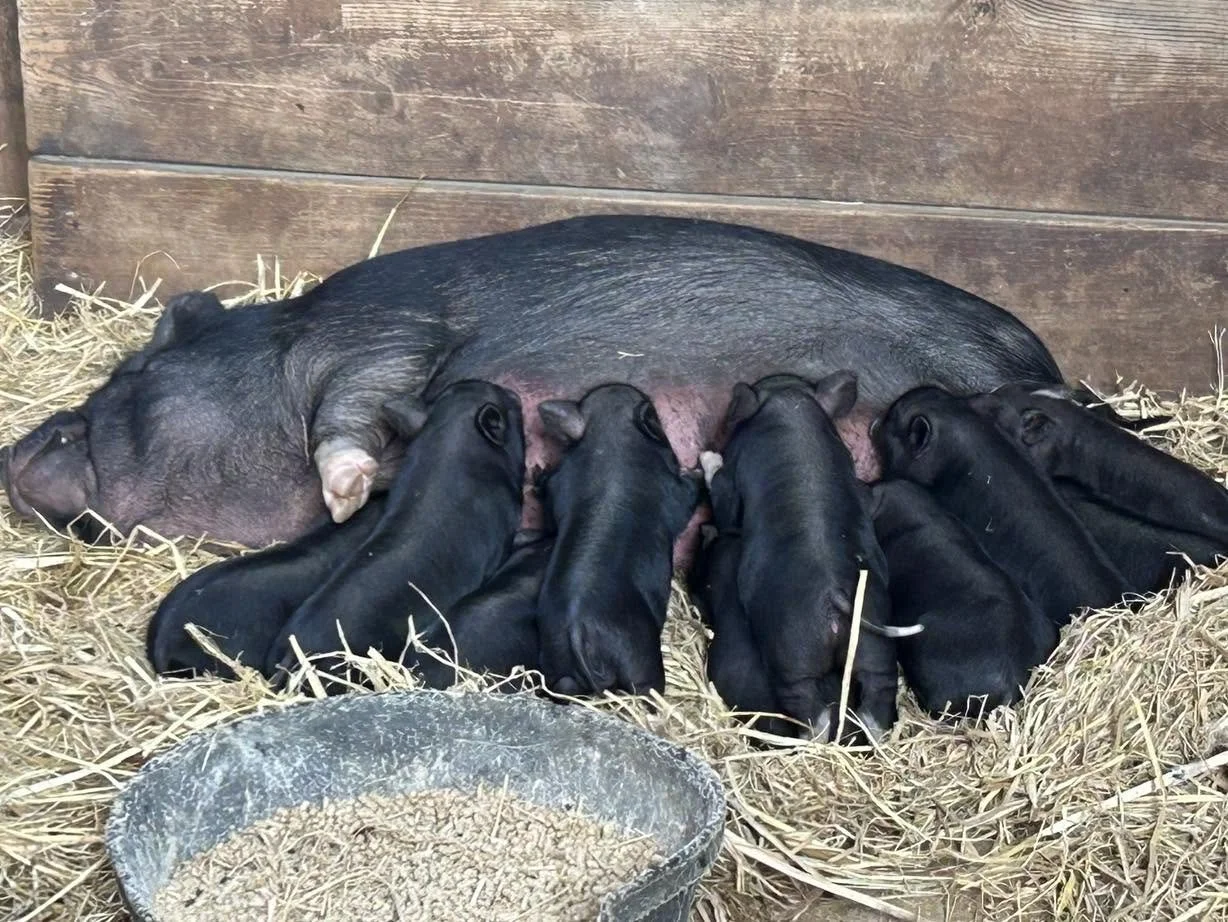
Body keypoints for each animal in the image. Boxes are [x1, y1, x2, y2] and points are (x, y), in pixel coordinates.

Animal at [2, 214, 1080, 570]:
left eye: (128, 377)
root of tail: (1043, 361)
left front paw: (352, 494)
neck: (281, 356)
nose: (20, 444)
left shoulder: (383, 336)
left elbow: (350, 412)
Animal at [534, 383, 702, 697]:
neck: (610, 440)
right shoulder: (673, 489)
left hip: (557, 661)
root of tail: (577, 630)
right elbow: (691, 492)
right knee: (648, 685)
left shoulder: (560, 482)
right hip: (639, 655)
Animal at [702, 372, 901, 744]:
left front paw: (707, 459)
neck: (791, 414)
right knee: (877, 696)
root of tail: (835, 596)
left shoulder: (731, 481)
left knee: (809, 709)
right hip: (874, 643)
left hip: (792, 652)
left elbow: (723, 502)